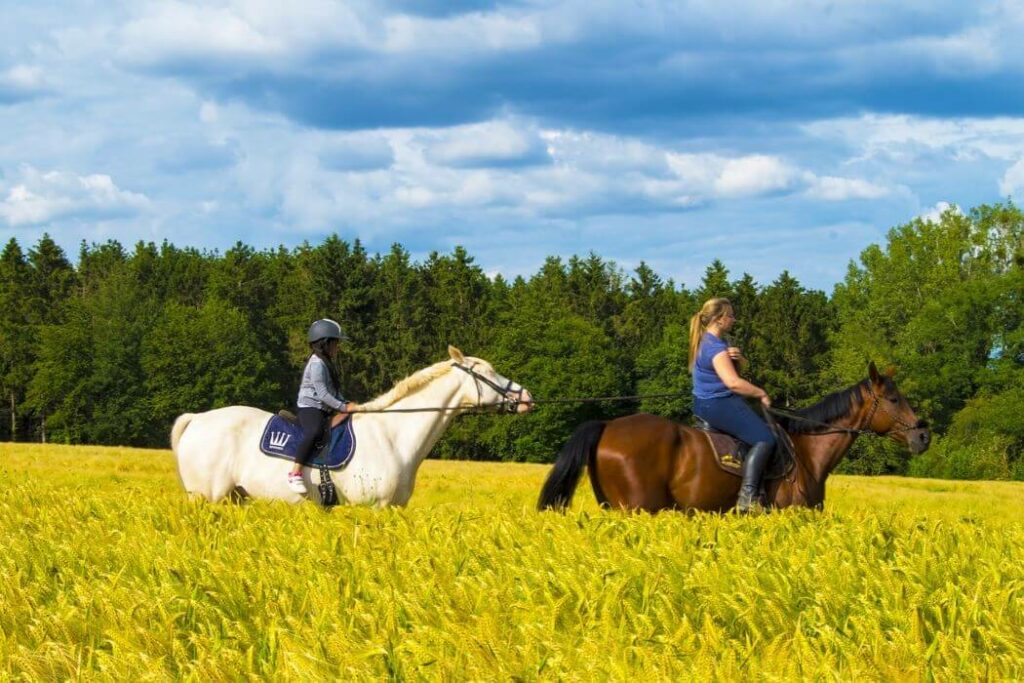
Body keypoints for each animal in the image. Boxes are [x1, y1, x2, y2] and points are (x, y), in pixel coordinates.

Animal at [171, 348, 532, 507]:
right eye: (488, 372)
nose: (526, 396)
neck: (394, 435)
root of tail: (196, 419)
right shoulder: (374, 508)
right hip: (206, 498)